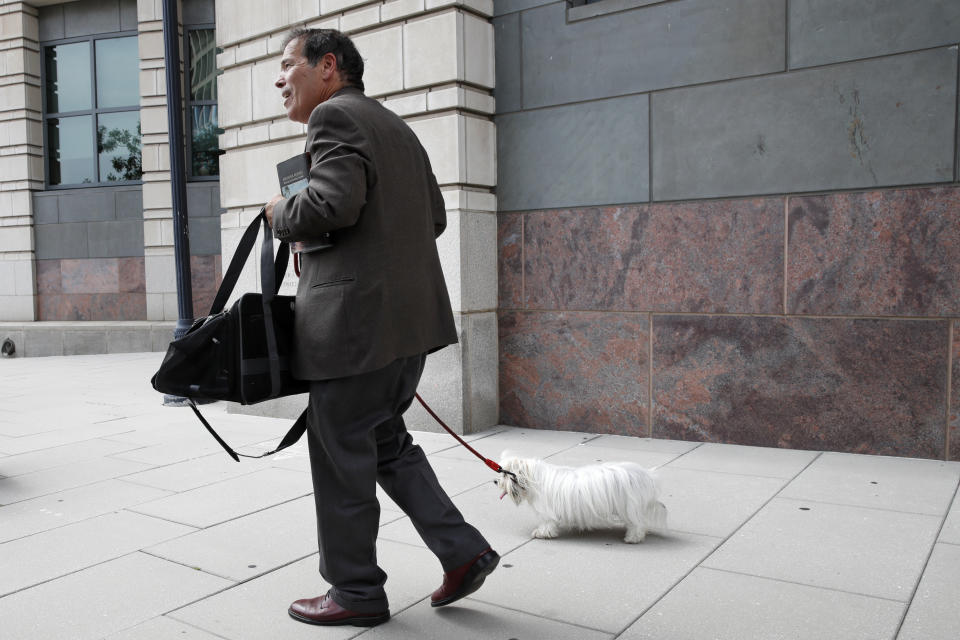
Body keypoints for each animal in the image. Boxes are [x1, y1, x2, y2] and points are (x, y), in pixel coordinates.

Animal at [498, 456, 664, 544]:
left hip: (629, 506)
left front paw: (542, 533)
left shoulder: (547, 512)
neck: (534, 478)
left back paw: (632, 538)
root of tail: (645, 474)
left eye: (505, 474)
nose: (495, 481)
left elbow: (547, 523)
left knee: (637, 524)